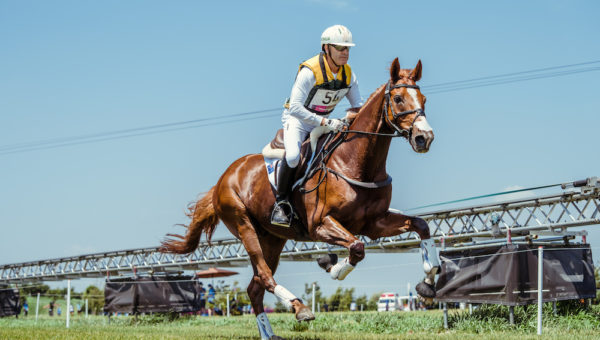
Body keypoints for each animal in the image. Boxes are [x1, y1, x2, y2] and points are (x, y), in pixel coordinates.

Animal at [162, 59, 438, 340]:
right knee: (264, 276)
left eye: (424, 99)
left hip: (273, 238)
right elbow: (356, 248)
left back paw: (269, 333)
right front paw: (332, 268)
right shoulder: (320, 224)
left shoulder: (374, 223)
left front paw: (428, 284)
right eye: (398, 98)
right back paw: (300, 308)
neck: (356, 163)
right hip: (244, 225)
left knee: (255, 287)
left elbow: (421, 226)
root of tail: (224, 178)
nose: (424, 138)